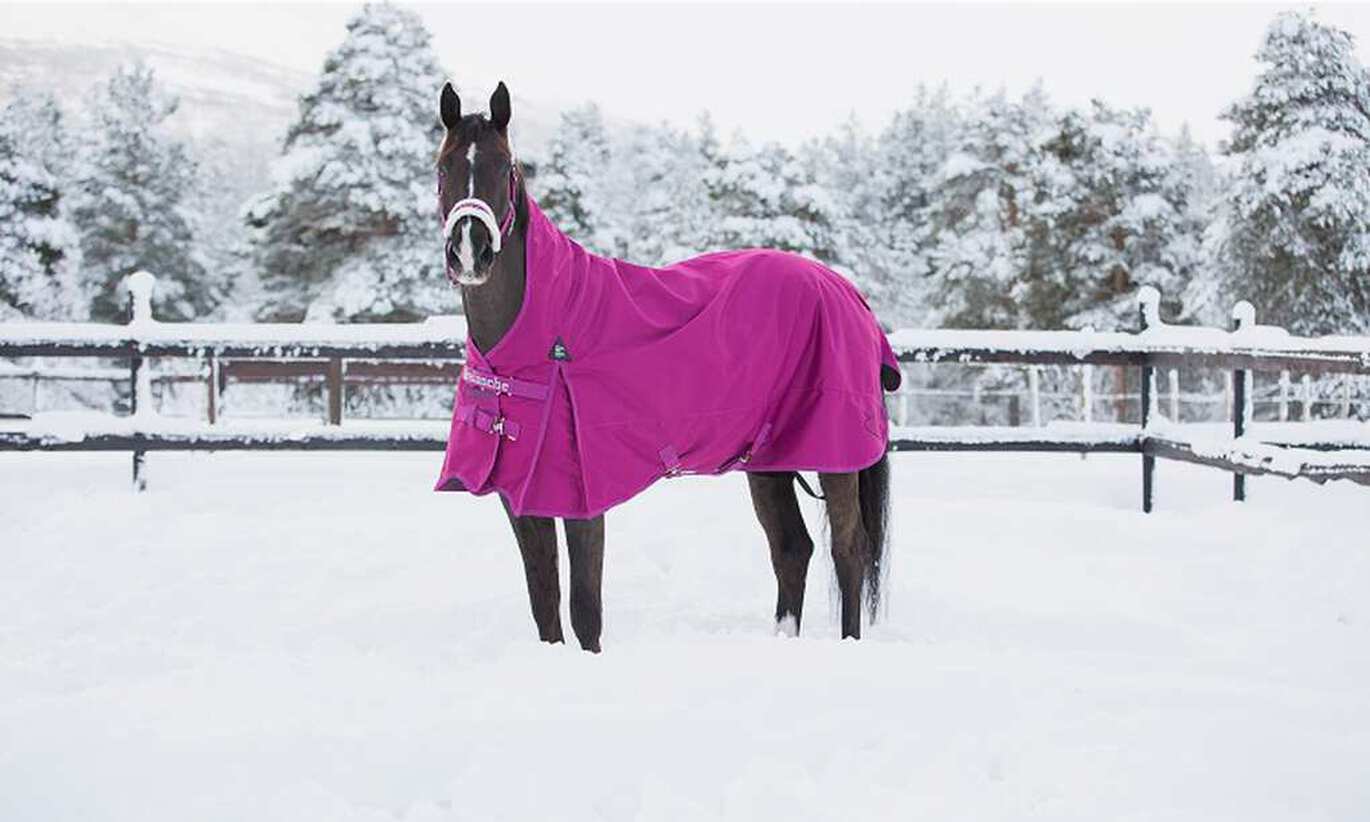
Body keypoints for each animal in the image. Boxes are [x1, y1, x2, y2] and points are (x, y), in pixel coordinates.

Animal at [434, 82, 900, 651]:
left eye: (506, 168)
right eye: (443, 167)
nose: (469, 250)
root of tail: (848, 293)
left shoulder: (583, 497)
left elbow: (585, 609)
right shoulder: (521, 496)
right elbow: (544, 604)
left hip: (835, 457)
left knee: (848, 550)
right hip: (769, 462)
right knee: (792, 548)